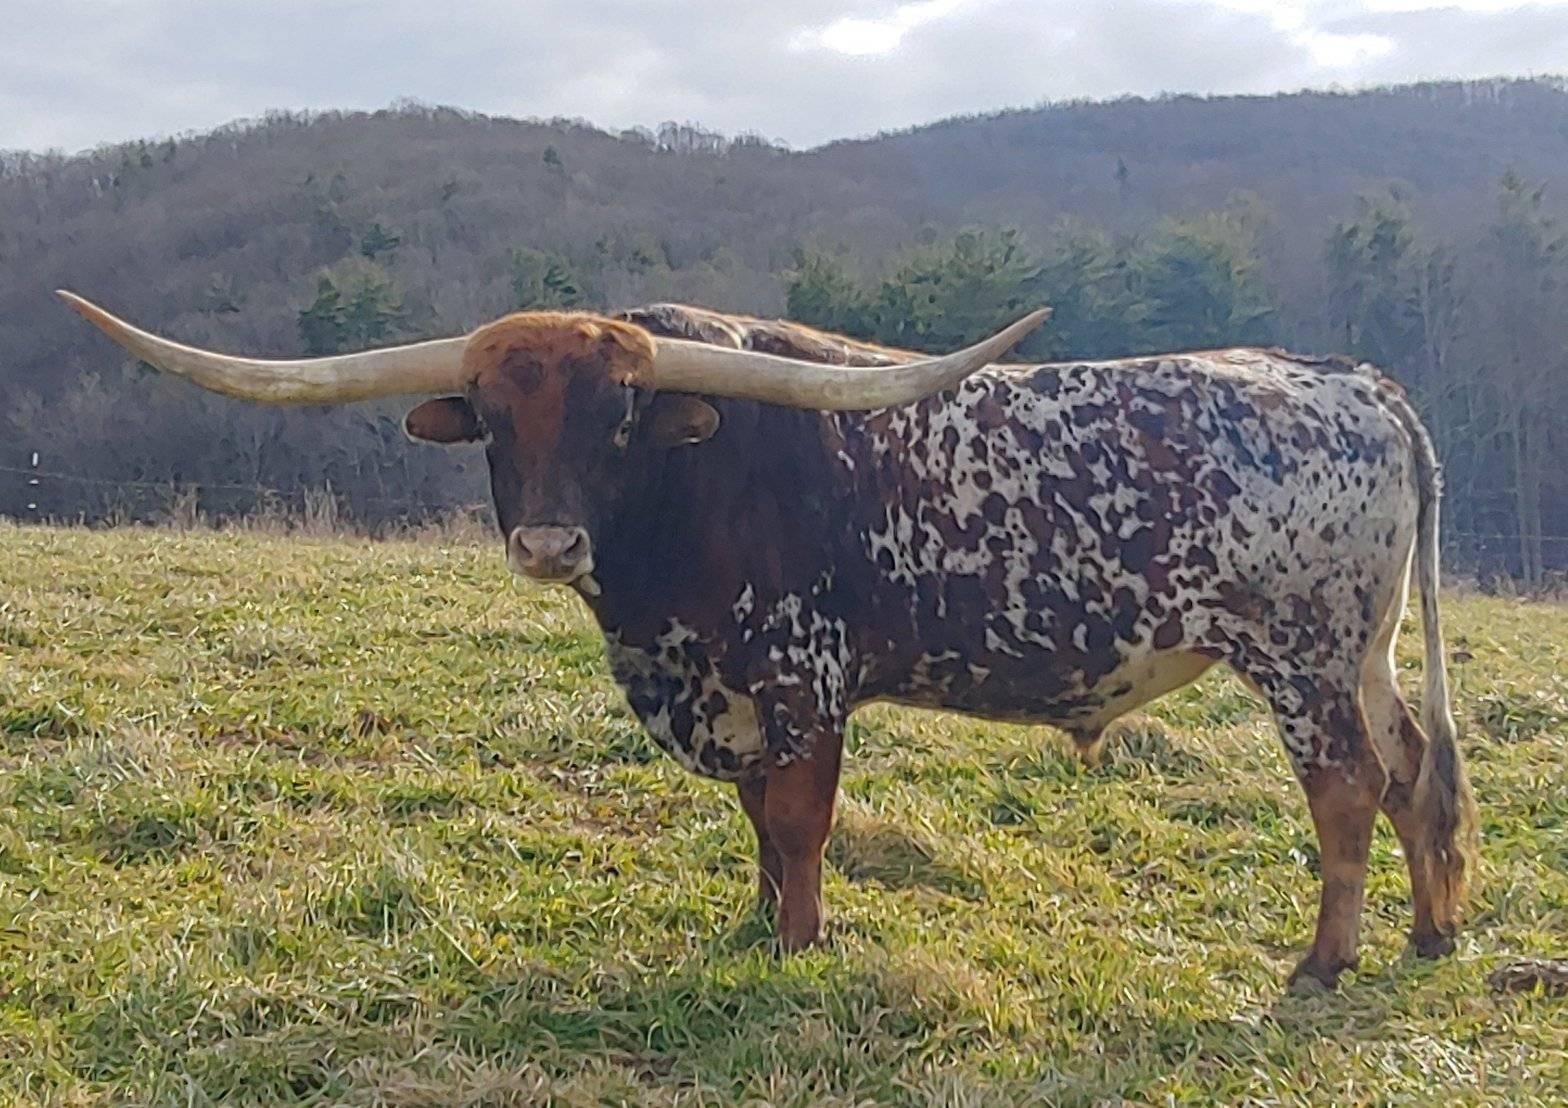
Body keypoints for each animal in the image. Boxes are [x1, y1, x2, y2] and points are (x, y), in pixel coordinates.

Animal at [59, 289, 1476, 989]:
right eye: (492, 418)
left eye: (618, 415)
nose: (548, 543)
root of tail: (1351, 382)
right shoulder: (728, 687)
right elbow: (750, 818)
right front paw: (754, 925)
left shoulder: (801, 676)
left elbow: (795, 819)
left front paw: (798, 946)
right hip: (1365, 654)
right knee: (1416, 774)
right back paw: (1428, 935)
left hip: (1298, 658)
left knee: (1346, 788)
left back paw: (1322, 960)